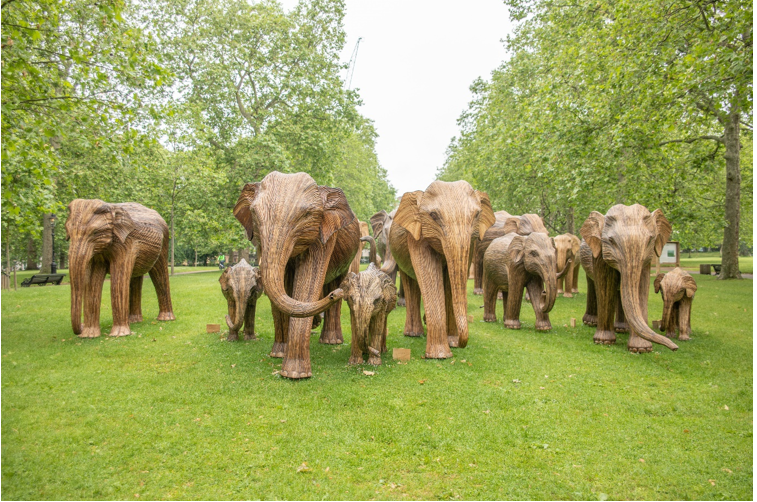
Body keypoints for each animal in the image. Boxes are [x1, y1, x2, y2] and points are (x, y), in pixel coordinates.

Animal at [65, 199, 175, 338]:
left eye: (95, 232)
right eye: (68, 232)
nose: (81, 325)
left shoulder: (126, 243)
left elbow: (118, 279)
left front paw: (119, 334)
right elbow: (92, 283)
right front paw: (89, 335)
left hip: (164, 242)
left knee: (159, 275)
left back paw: (165, 319)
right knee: (135, 279)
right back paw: (134, 320)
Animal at [233, 171, 361, 379]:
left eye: (307, 215)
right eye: (254, 213)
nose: (337, 294)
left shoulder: (323, 236)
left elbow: (307, 285)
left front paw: (294, 374)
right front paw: (278, 354)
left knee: (332, 282)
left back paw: (331, 341)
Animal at [389, 180, 495, 358]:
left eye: (476, 215)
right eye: (433, 215)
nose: (461, 343)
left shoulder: (471, 242)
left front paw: (452, 342)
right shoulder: (418, 236)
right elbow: (430, 277)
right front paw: (440, 356)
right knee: (411, 282)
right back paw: (414, 334)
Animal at [579, 204, 678, 352]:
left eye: (650, 240)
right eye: (611, 241)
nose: (675, 347)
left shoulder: (646, 262)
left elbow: (641, 290)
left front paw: (641, 348)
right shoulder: (600, 255)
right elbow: (605, 289)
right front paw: (603, 341)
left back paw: (621, 329)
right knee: (593, 285)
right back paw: (591, 322)